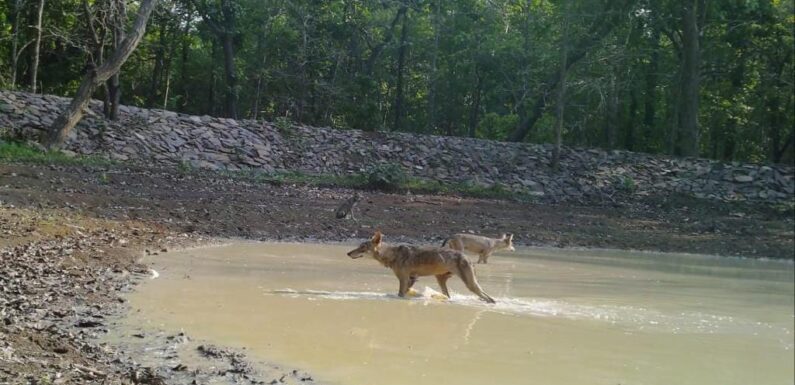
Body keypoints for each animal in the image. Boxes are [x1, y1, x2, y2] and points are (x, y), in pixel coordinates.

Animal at [346, 231, 494, 304]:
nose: (348, 253)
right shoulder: (411, 279)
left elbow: (400, 294)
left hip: (470, 284)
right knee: (449, 296)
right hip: (441, 280)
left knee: (490, 298)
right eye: (359, 246)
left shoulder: (403, 279)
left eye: (362, 247)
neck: (392, 254)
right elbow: (406, 292)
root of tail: (468, 258)